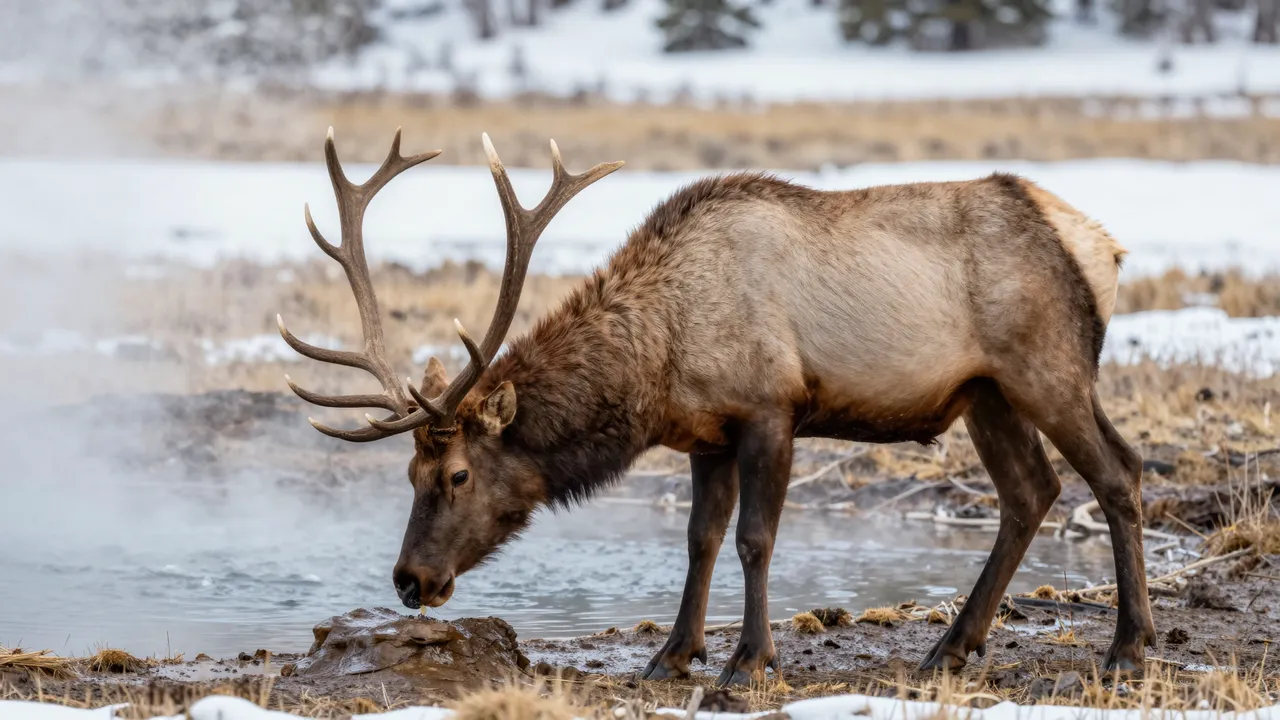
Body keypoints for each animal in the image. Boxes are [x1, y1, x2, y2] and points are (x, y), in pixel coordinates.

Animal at [277, 126, 1152, 686]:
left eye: (456, 474)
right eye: (408, 474)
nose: (409, 580)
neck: (660, 360)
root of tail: (1106, 247)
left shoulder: (772, 408)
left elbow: (753, 540)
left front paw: (746, 661)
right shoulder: (706, 435)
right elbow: (699, 540)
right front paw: (672, 654)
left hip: (1048, 366)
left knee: (1120, 472)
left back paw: (1128, 647)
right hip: (987, 392)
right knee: (1030, 491)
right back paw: (951, 648)